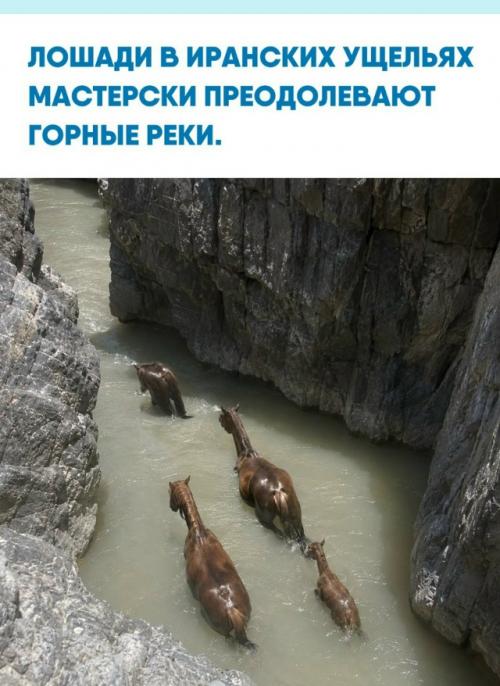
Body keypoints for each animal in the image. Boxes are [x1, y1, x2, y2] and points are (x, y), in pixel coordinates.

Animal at [218, 405, 308, 552]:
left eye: (222, 416)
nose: (219, 420)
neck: (246, 453)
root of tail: (279, 493)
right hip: (296, 515)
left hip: (265, 518)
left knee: (281, 535)